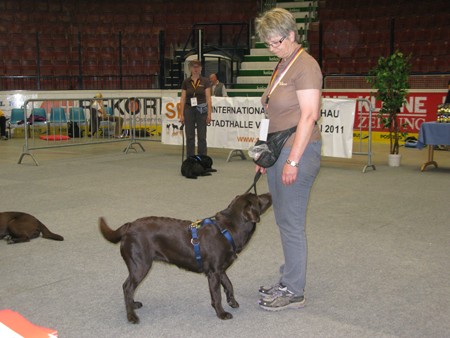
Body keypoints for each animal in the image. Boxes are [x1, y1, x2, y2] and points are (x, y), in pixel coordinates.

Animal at [100, 193, 272, 322]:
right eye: (258, 198)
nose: (269, 194)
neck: (228, 230)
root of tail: (128, 226)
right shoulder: (213, 273)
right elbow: (216, 295)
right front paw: (221, 313)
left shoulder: (220, 269)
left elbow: (229, 285)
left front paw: (232, 302)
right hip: (140, 264)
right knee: (127, 287)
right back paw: (131, 316)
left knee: (127, 287)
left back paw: (133, 305)